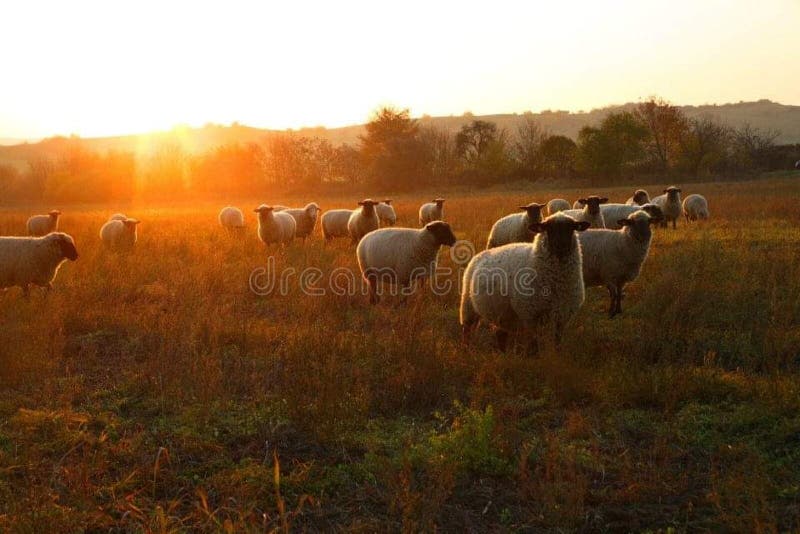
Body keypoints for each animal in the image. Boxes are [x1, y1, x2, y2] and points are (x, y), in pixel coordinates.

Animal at [460, 211, 592, 354]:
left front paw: (557, 355)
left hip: (503, 313)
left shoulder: (562, 316)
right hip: (468, 307)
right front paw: (535, 356)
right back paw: (466, 350)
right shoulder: (530, 314)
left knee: (500, 335)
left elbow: (557, 343)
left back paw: (502, 353)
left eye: (571, 228)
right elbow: (534, 344)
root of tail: (479, 255)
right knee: (467, 331)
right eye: (548, 228)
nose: (561, 245)